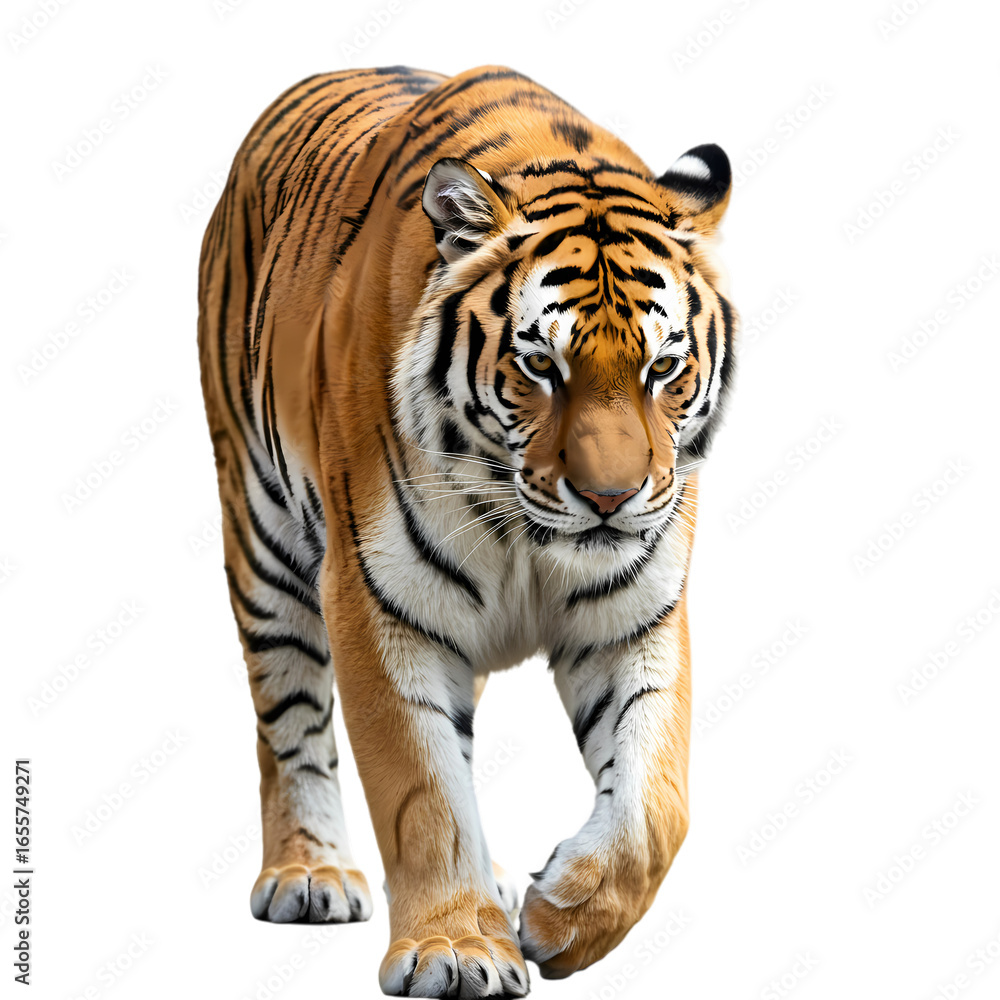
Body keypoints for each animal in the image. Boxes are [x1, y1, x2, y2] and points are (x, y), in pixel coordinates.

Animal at [197, 64, 736, 998]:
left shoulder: (634, 617)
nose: (611, 498)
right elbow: (421, 789)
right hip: (261, 536)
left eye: (663, 368)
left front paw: (560, 916)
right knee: (288, 714)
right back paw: (310, 873)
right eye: (540, 366)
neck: (526, 533)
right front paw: (454, 948)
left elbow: (654, 805)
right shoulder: (378, 605)